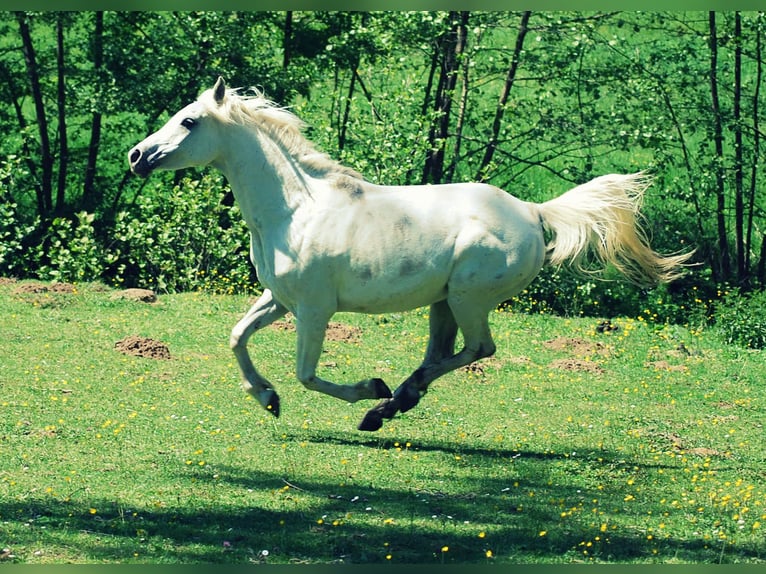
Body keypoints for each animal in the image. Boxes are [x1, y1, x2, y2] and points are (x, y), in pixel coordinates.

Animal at [129, 79, 692, 434]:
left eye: (189, 122)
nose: (137, 156)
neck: (295, 209)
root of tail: (533, 212)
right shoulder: (279, 299)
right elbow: (237, 337)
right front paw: (267, 399)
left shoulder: (313, 309)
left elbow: (306, 373)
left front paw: (363, 388)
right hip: (444, 303)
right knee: (443, 353)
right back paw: (395, 403)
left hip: (468, 299)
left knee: (477, 350)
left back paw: (386, 401)